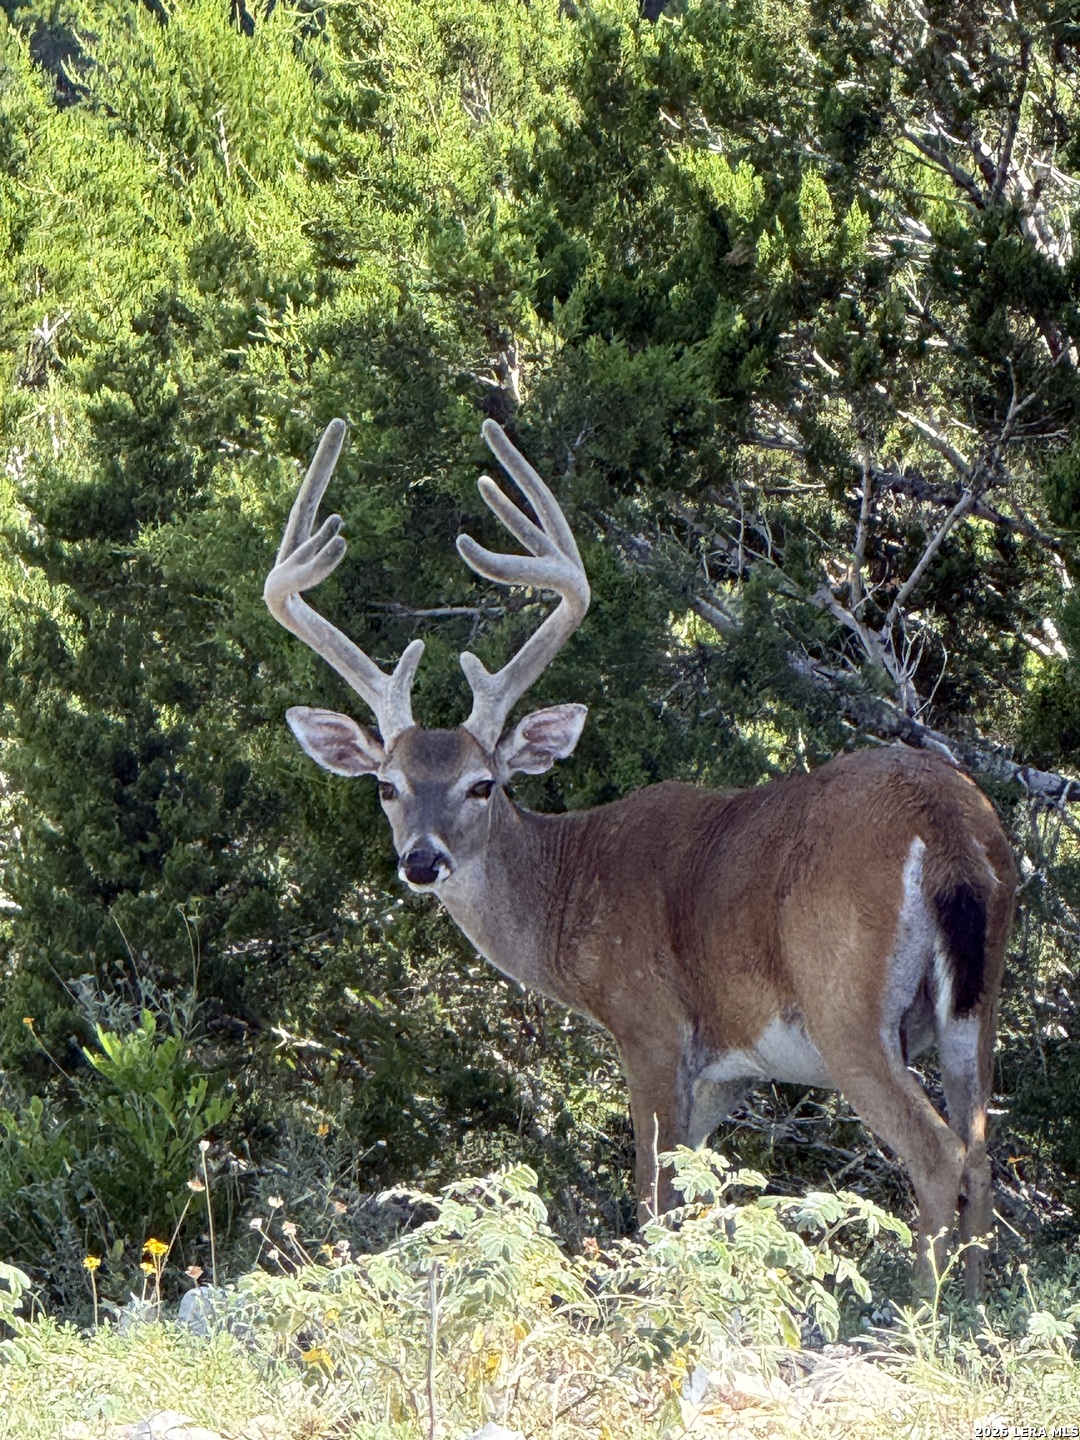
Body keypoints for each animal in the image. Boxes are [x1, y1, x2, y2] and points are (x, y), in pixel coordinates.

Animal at [265, 416, 1017, 1296]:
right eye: (387, 785)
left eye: (484, 784)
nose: (423, 861)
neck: (575, 883)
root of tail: (947, 823)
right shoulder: (726, 1071)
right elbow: (688, 1198)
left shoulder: (650, 1024)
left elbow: (652, 1200)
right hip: (977, 1002)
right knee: (982, 1152)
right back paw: (975, 1313)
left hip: (847, 1003)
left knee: (938, 1154)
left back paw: (920, 1316)